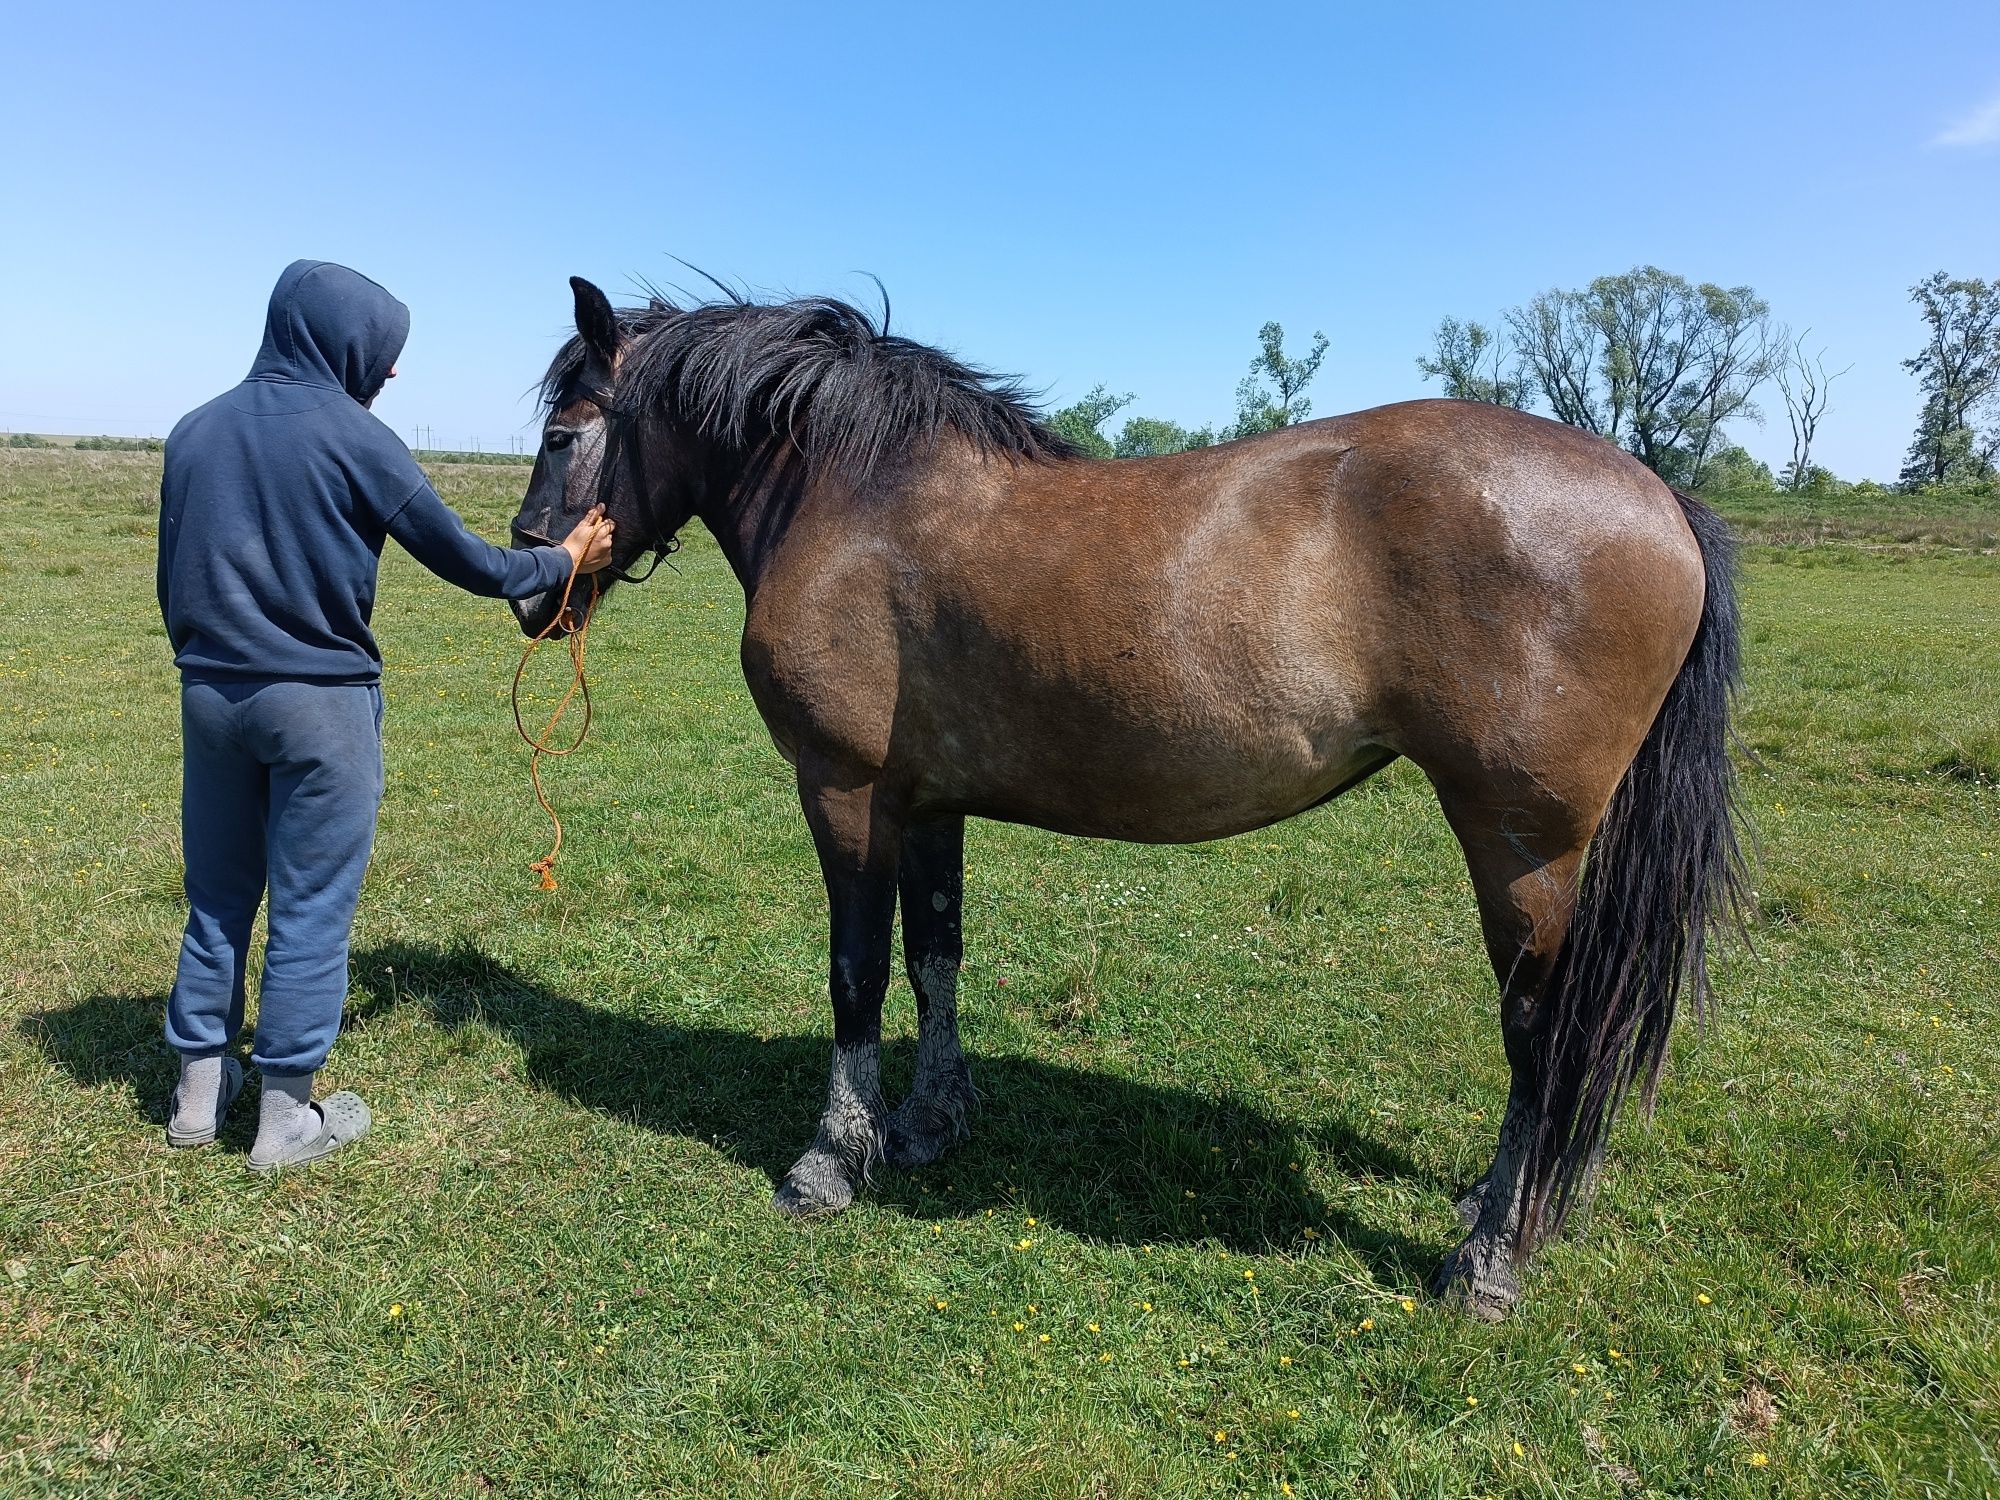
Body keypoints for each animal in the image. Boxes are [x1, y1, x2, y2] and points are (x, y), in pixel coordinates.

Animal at [508, 276, 1744, 1320]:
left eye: (564, 434)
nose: (526, 583)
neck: (858, 501)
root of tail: (1660, 497)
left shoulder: (846, 792)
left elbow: (856, 973)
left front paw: (828, 1161)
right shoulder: (928, 801)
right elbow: (934, 955)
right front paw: (927, 1124)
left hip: (1521, 845)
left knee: (1542, 1029)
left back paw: (1487, 1259)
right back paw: (1514, 1206)